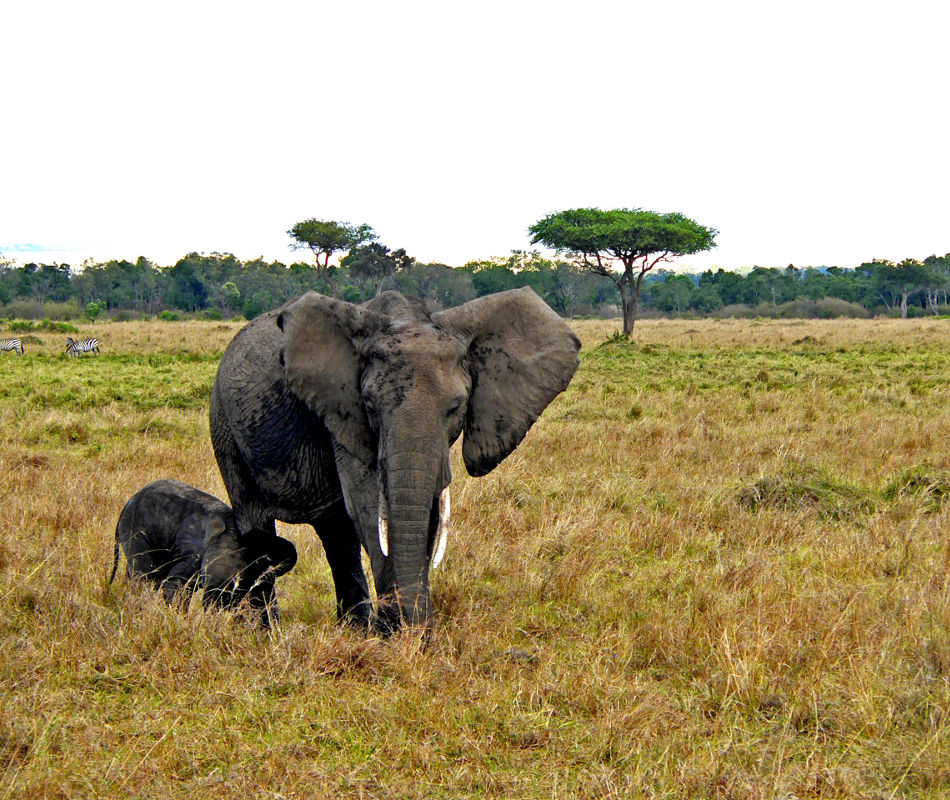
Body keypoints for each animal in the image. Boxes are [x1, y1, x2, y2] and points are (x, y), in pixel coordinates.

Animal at [209, 288, 580, 632]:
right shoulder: (343, 412)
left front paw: (408, 635)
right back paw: (266, 632)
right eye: (371, 406)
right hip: (224, 423)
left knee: (337, 532)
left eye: (456, 407)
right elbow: (369, 505)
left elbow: (421, 512)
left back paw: (355, 630)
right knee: (255, 519)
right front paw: (396, 635)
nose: (420, 629)